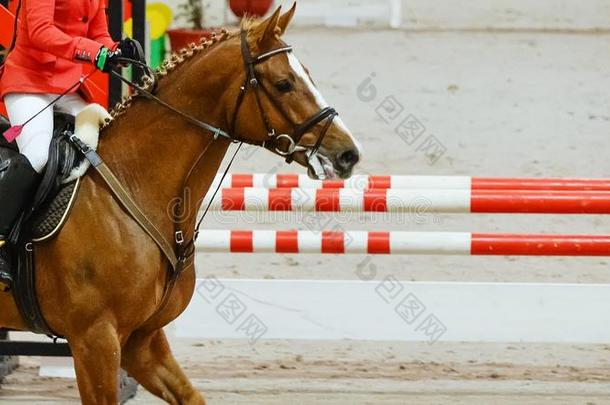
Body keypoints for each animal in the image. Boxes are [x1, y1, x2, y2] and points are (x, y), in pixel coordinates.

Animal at [0, 6, 360, 404]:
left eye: (307, 74)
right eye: (284, 83)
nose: (348, 154)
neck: (135, 182)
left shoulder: (142, 341)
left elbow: (190, 396)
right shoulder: (94, 342)